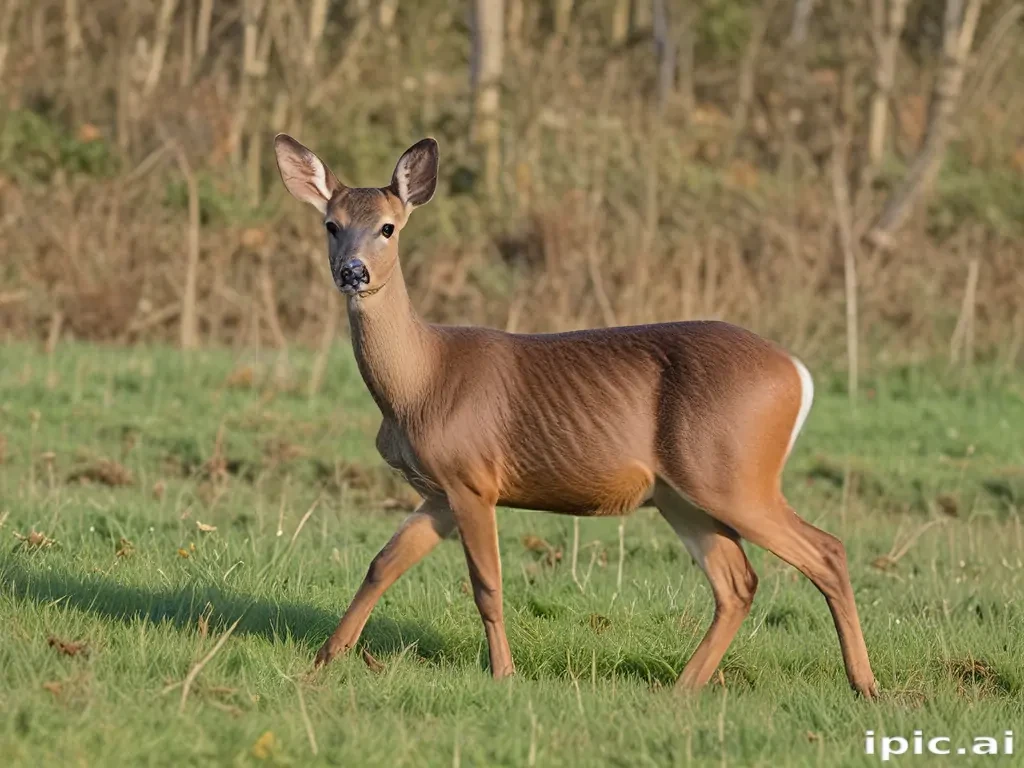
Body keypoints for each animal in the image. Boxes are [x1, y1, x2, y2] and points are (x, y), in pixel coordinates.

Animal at [273, 134, 879, 699]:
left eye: (388, 228)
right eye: (331, 225)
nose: (352, 272)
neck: (421, 382)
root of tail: (798, 374)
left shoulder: (473, 477)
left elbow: (487, 585)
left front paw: (504, 674)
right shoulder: (439, 491)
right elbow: (382, 564)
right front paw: (321, 663)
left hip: (732, 473)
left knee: (826, 550)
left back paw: (864, 685)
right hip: (683, 494)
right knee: (738, 582)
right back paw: (683, 688)